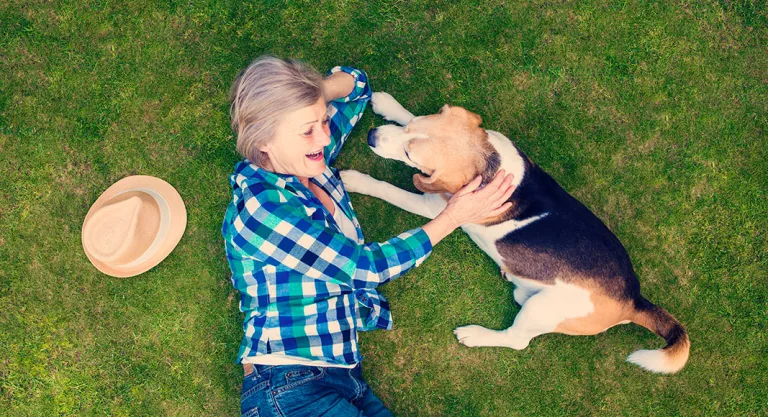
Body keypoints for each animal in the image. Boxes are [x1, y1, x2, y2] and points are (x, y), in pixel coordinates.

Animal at [340, 92, 688, 372]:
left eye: (410, 155)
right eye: (410, 128)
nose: (371, 135)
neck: (489, 161)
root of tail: (632, 300)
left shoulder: (436, 208)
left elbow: (389, 189)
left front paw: (353, 180)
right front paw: (389, 104)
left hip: (543, 310)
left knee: (516, 340)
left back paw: (476, 334)